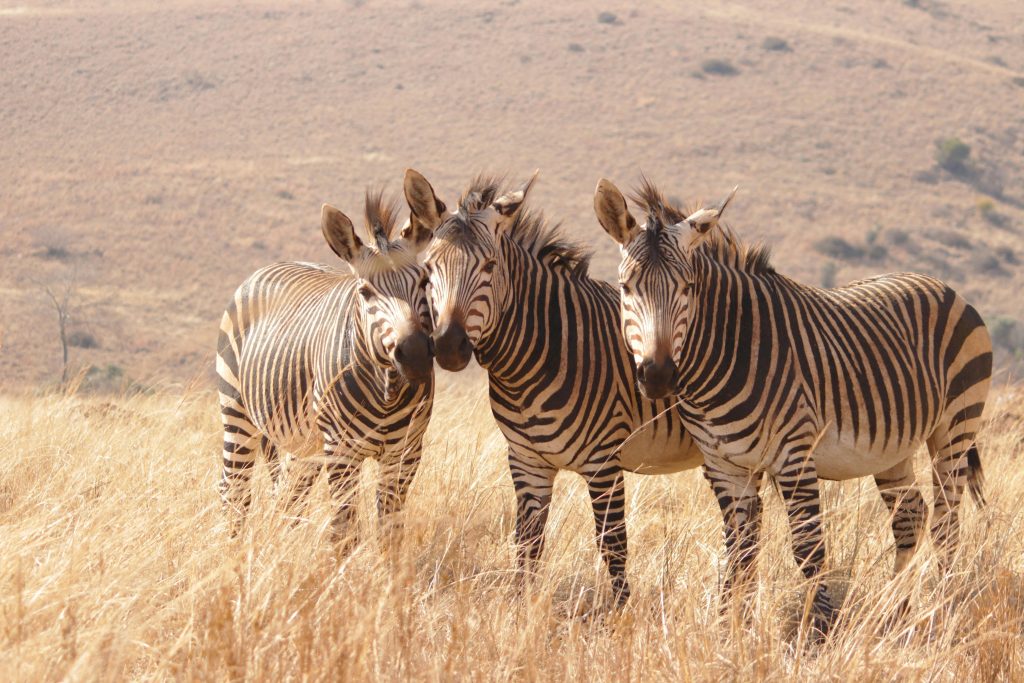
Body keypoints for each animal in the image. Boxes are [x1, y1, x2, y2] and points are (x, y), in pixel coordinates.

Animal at [216, 190, 435, 538]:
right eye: (365, 292)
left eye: (425, 281)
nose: (414, 354)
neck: (387, 391)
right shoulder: (342, 451)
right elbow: (344, 529)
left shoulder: (406, 452)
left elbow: (390, 530)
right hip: (237, 412)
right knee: (234, 490)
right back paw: (232, 548)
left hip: (303, 443)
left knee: (288, 496)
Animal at [402, 169, 704, 604]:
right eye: (428, 269)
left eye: (489, 266)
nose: (448, 346)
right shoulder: (527, 460)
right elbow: (528, 543)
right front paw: (522, 608)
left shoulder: (604, 461)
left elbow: (613, 546)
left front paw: (623, 614)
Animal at [593, 177, 992, 633]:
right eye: (626, 288)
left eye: (688, 288)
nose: (658, 376)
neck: (730, 350)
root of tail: (943, 286)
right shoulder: (725, 465)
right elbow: (740, 551)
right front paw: (732, 629)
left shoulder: (794, 456)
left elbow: (808, 550)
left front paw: (820, 629)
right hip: (894, 446)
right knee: (911, 515)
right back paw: (895, 611)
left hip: (955, 427)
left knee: (948, 523)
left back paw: (944, 608)